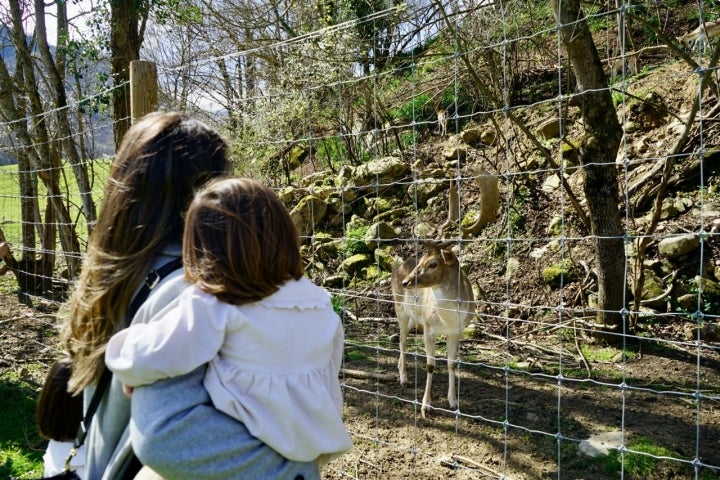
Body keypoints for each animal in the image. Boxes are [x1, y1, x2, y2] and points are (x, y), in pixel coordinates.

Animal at [390, 242, 476, 418]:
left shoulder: (455, 332)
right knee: (402, 341)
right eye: (421, 260)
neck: (448, 319)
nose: (406, 282)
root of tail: (396, 268)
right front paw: (425, 407)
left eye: (433, 264)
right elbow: (430, 365)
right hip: (400, 309)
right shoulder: (428, 329)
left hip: (413, 319)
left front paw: (453, 402)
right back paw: (404, 378)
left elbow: (452, 364)